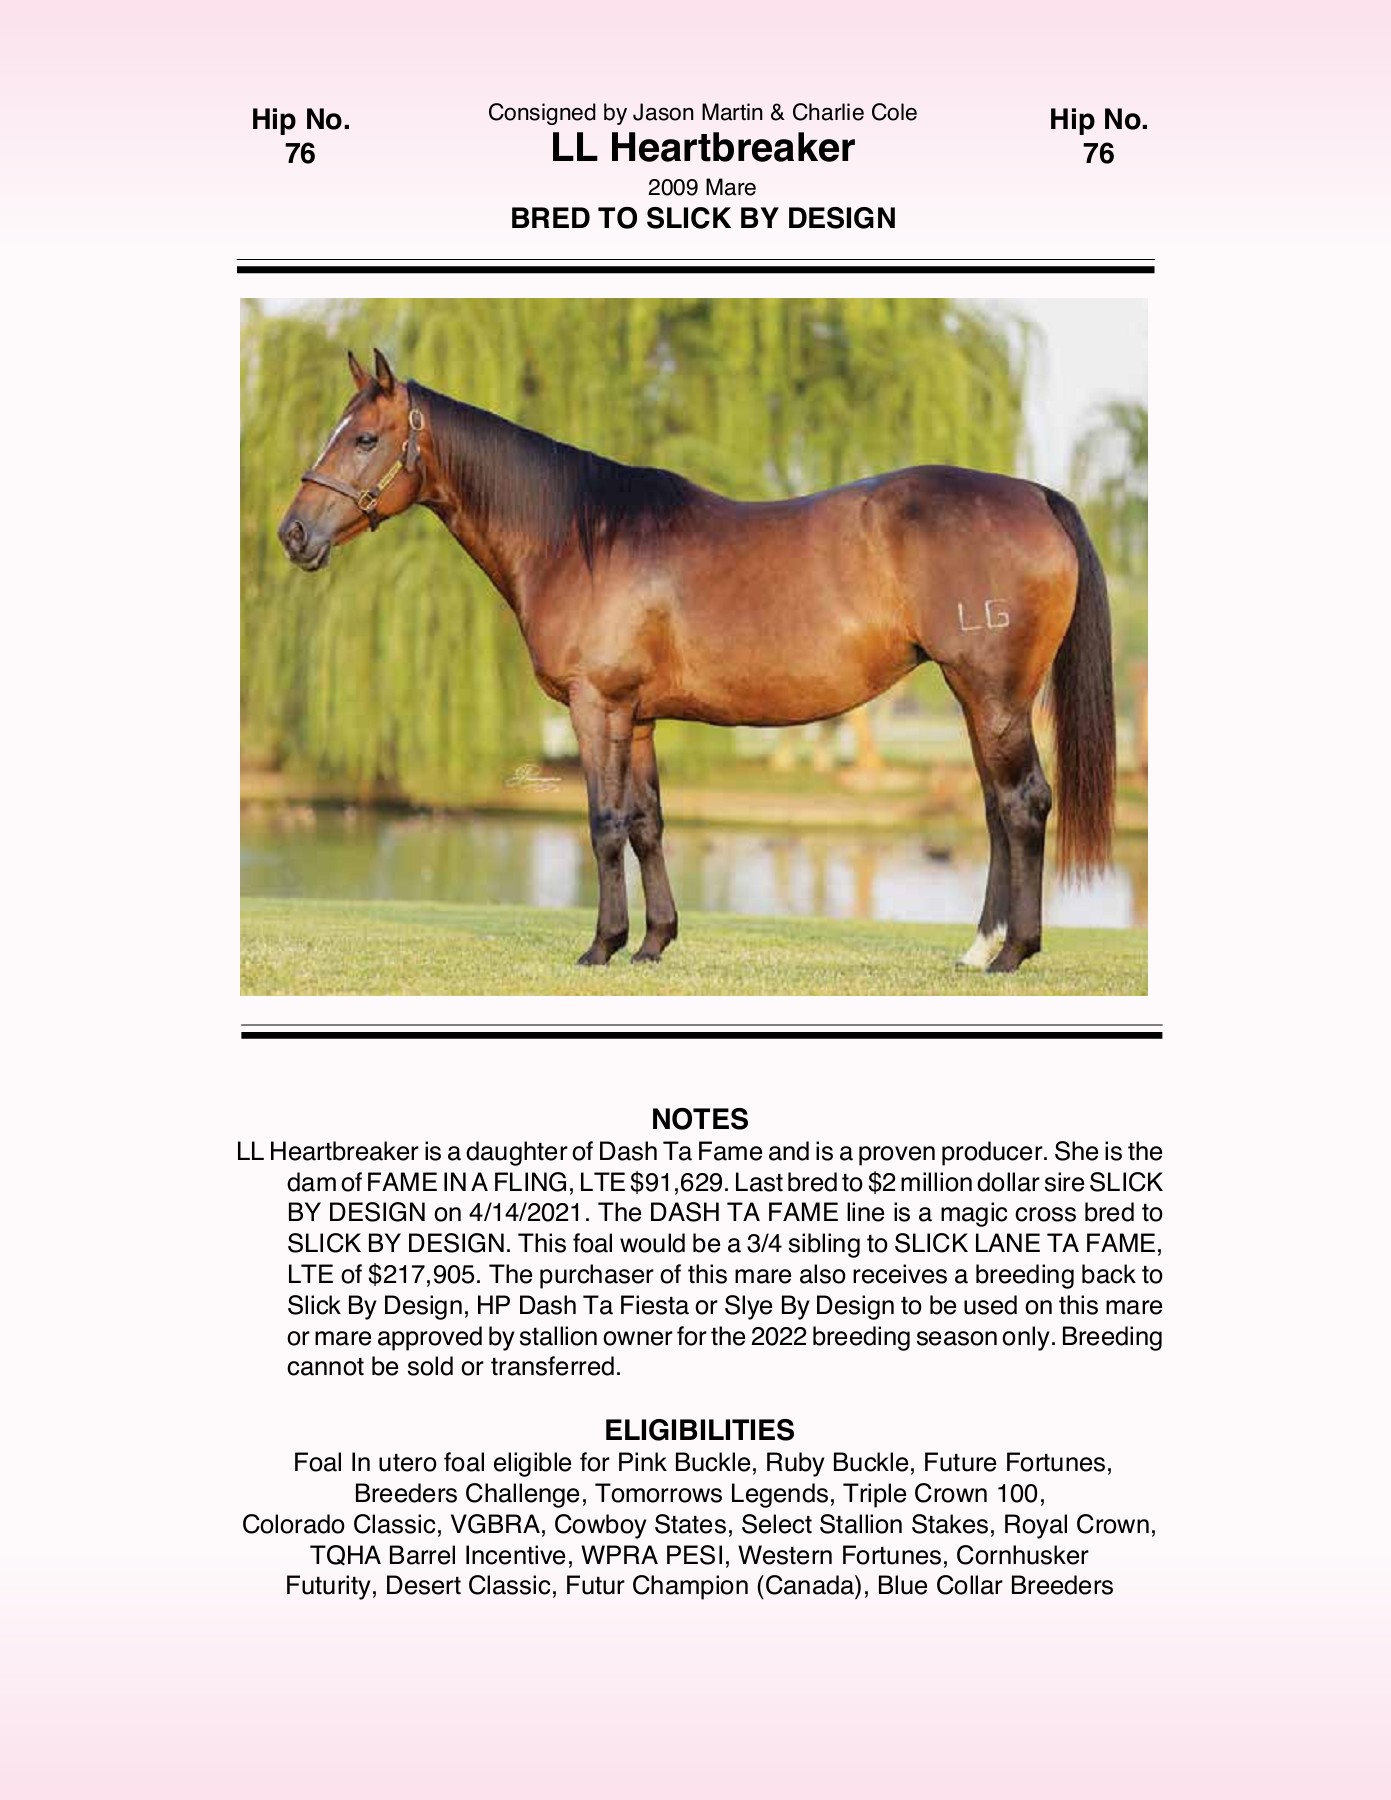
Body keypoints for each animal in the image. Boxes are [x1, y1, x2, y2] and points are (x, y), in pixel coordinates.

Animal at [278, 349, 1115, 974]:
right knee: (994, 809)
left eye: (363, 438)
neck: (577, 536)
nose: (293, 534)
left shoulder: (596, 705)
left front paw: (601, 946)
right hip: (976, 697)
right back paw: (978, 948)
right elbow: (648, 823)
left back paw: (1012, 954)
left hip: (993, 693)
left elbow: (603, 822)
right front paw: (653, 943)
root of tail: (1036, 496)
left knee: (1022, 804)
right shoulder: (639, 717)